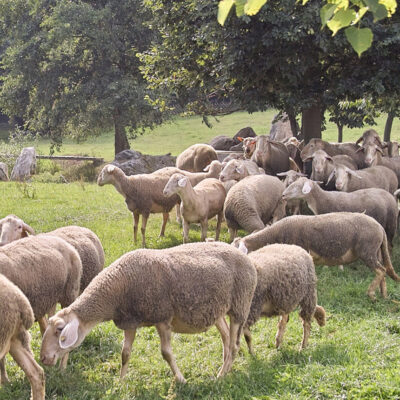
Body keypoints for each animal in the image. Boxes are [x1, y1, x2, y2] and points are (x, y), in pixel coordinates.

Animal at [40, 241, 258, 384]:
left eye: (59, 330)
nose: (43, 359)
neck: (118, 288)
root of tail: (243, 254)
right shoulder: (130, 322)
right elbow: (125, 354)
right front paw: (121, 382)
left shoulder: (162, 317)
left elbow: (166, 353)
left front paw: (181, 380)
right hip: (217, 310)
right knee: (226, 339)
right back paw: (224, 368)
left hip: (240, 305)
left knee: (234, 344)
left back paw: (221, 376)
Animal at [231, 212, 400, 300]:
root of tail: (380, 228)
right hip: (376, 251)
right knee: (383, 271)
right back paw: (383, 295)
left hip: (367, 251)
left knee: (380, 270)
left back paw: (371, 294)